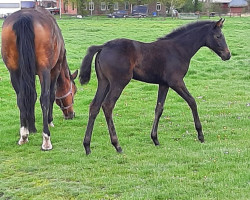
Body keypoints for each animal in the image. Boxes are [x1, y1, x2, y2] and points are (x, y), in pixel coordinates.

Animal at [1, 6, 77, 150]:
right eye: (74, 91)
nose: (71, 115)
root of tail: (24, 18)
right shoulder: (55, 69)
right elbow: (51, 96)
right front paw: (49, 121)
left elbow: (32, 97)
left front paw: (32, 128)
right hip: (44, 70)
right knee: (45, 98)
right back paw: (46, 139)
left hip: (14, 71)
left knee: (21, 98)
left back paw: (24, 135)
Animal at [79, 18, 230, 155]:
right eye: (218, 36)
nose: (227, 55)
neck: (179, 49)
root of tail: (103, 46)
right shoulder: (176, 81)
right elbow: (192, 101)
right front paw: (200, 135)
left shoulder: (164, 84)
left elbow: (159, 108)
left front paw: (155, 139)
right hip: (119, 82)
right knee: (108, 105)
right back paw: (117, 145)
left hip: (104, 82)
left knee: (94, 106)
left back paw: (87, 146)